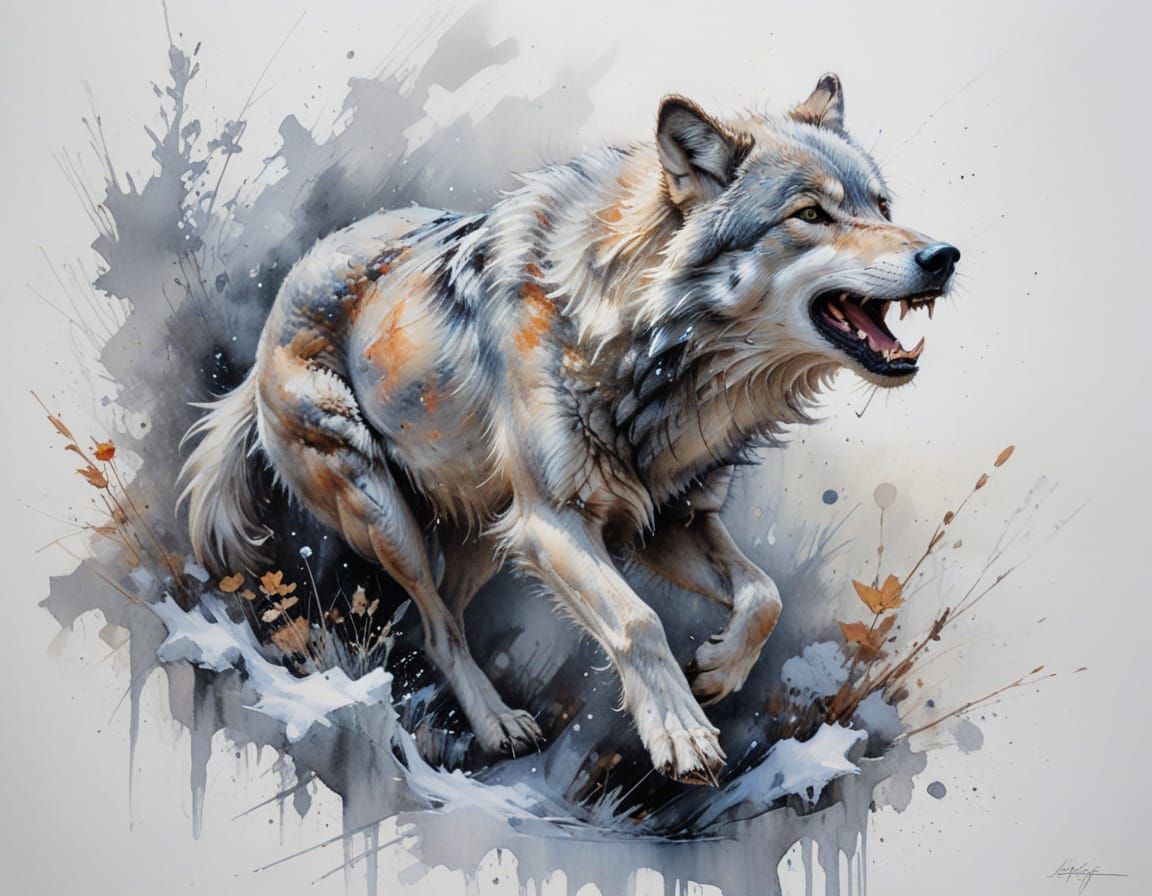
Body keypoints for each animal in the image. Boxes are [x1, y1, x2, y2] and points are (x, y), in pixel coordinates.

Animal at [179, 74, 959, 783]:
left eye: (882, 205)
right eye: (811, 213)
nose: (944, 256)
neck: (643, 343)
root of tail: (281, 302)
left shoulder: (663, 521)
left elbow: (764, 595)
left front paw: (716, 671)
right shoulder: (554, 521)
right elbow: (639, 622)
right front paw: (681, 734)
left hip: (487, 534)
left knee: (439, 622)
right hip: (386, 514)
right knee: (435, 621)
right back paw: (498, 725)